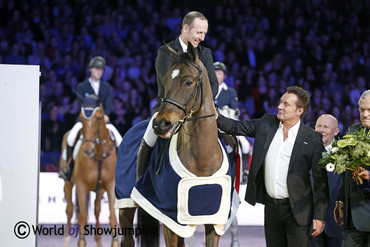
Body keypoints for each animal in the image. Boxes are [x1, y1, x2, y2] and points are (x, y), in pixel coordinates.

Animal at [59, 100, 118, 247]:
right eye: (81, 117)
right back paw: (67, 239)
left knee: (97, 210)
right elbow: (83, 217)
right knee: (69, 209)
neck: (98, 154)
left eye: (99, 118)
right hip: (68, 183)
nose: (87, 150)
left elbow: (112, 216)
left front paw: (115, 243)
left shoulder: (110, 185)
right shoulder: (82, 186)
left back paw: (99, 241)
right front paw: (81, 242)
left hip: (100, 190)